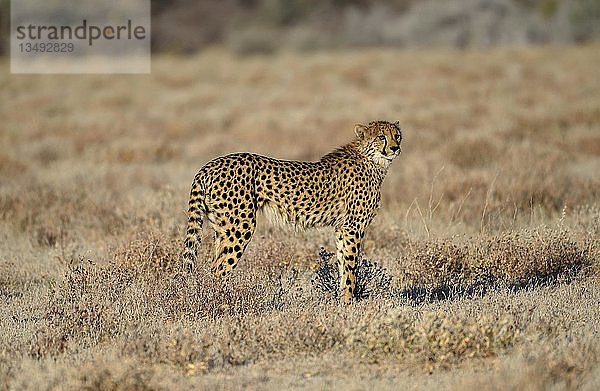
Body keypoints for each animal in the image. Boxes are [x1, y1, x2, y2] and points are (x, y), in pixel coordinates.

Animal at [180, 120, 400, 304]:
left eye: (397, 135)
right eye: (381, 136)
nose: (395, 148)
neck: (372, 160)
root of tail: (210, 165)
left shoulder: (341, 228)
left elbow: (343, 263)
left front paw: (342, 301)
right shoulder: (353, 227)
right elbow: (352, 267)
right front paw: (349, 303)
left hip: (222, 227)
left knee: (213, 265)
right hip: (241, 226)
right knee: (220, 268)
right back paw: (224, 302)